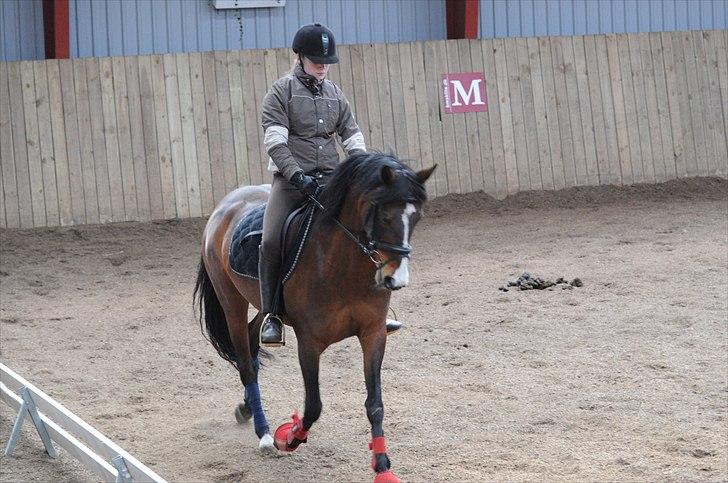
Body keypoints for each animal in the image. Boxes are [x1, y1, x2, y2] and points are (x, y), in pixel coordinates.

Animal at [194, 152, 435, 483]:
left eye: (417, 217)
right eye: (385, 215)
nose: (395, 279)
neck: (344, 267)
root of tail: (225, 206)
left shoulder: (373, 333)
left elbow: (375, 403)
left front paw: (383, 466)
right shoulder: (308, 342)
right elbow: (314, 405)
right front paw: (289, 436)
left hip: (263, 304)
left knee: (255, 340)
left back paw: (246, 409)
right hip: (231, 302)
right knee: (246, 364)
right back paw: (264, 433)